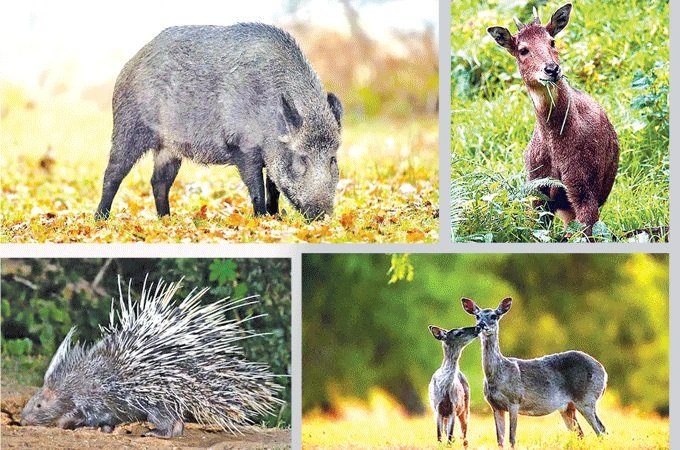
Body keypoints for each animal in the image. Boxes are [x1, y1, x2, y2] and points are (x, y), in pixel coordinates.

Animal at [462, 298, 604, 448]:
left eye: (494, 316)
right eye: (477, 316)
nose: (481, 325)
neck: (497, 375)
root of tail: (603, 371)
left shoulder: (514, 400)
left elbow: (512, 438)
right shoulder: (494, 406)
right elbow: (500, 440)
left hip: (587, 399)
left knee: (601, 430)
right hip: (567, 407)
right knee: (581, 434)